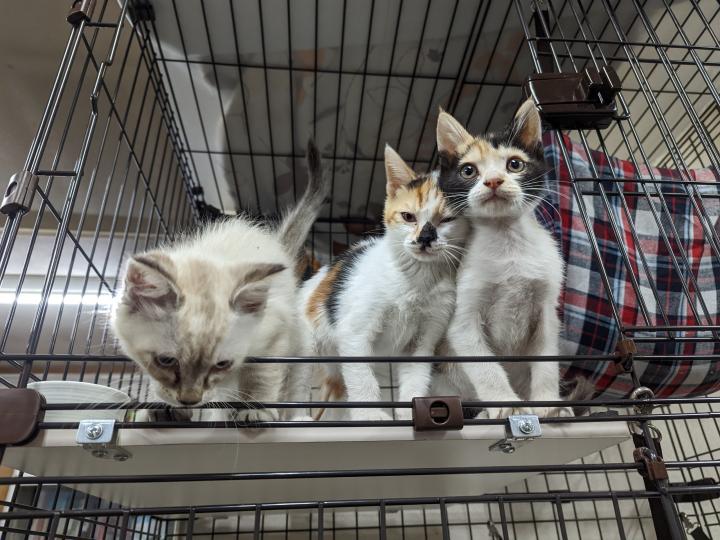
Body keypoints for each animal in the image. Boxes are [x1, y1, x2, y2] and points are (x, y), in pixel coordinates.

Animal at [111, 140, 329, 423]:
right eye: (166, 361)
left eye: (221, 364)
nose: (189, 400)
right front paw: (164, 407)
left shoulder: (272, 337)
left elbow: (262, 376)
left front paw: (256, 410)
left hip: (299, 345)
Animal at [300, 145, 469, 421]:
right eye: (408, 216)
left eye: (447, 220)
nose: (425, 238)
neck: (416, 280)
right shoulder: (355, 332)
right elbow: (362, 376)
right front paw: (370, 416)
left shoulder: (423, 340)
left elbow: (416, 377)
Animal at [436, 99, 570, 418]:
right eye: (468, 171)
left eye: (515, 164)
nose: (494, 181)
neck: (508, 244)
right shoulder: (462, 320)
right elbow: (484, 367)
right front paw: (503, 404)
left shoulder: (547, 311)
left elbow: (546, 360)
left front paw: (548, 403)